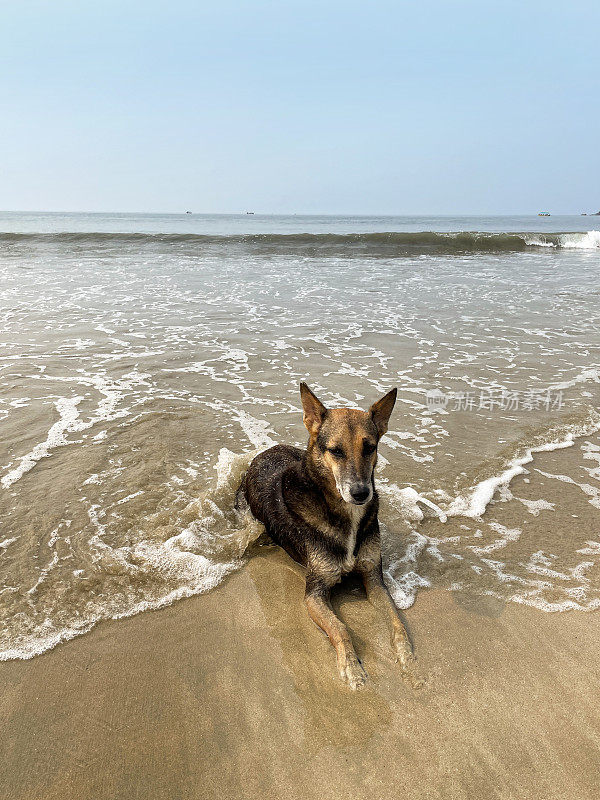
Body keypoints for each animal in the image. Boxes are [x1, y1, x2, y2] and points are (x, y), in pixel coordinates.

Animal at [239, 382, 418, 688]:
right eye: (335, 451)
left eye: (369, 448)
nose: (361, 493)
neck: (342, 512)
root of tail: (266, 451)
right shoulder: (315, 593)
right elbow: (340, 628)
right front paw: (352, 668)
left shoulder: (373, 576)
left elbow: (396, 620)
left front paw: (406, 656)